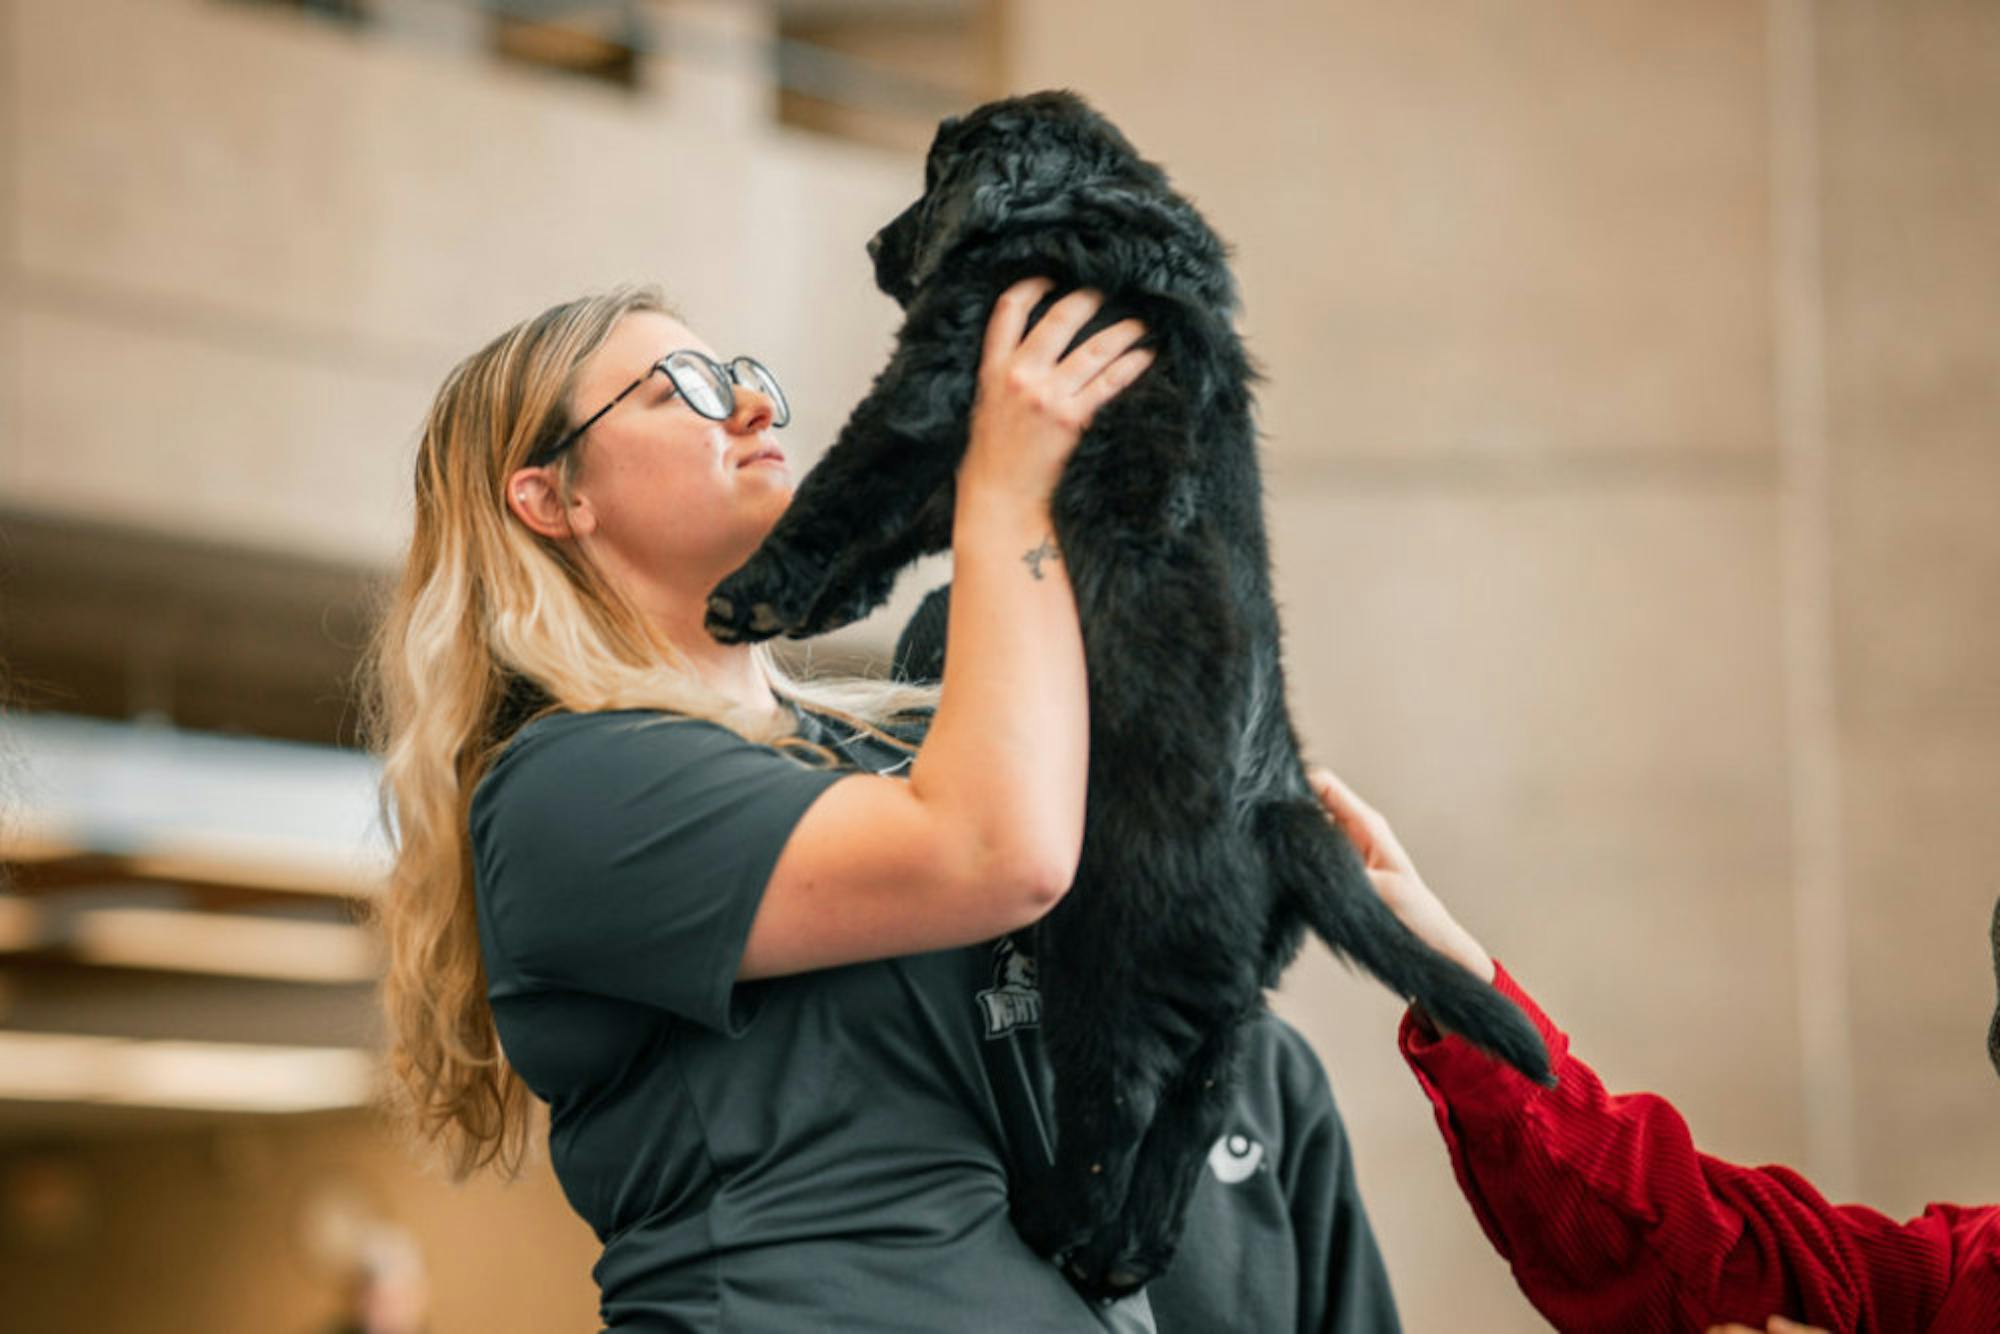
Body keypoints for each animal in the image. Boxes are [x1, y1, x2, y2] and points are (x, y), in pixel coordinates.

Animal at [712, 88, 1552, 1296]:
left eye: (929, 177)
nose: (873, 246)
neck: (1100, 214)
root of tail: (1278, 819)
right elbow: (899, 523)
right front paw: (825, 605)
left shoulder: (938, 371)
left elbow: (845, 484)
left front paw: (748, 597)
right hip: (1227, 1001)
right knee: (1188, 1131)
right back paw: (1114, 1258)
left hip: (1107, 950)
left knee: (1116, 1115)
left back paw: (1054, 1221)